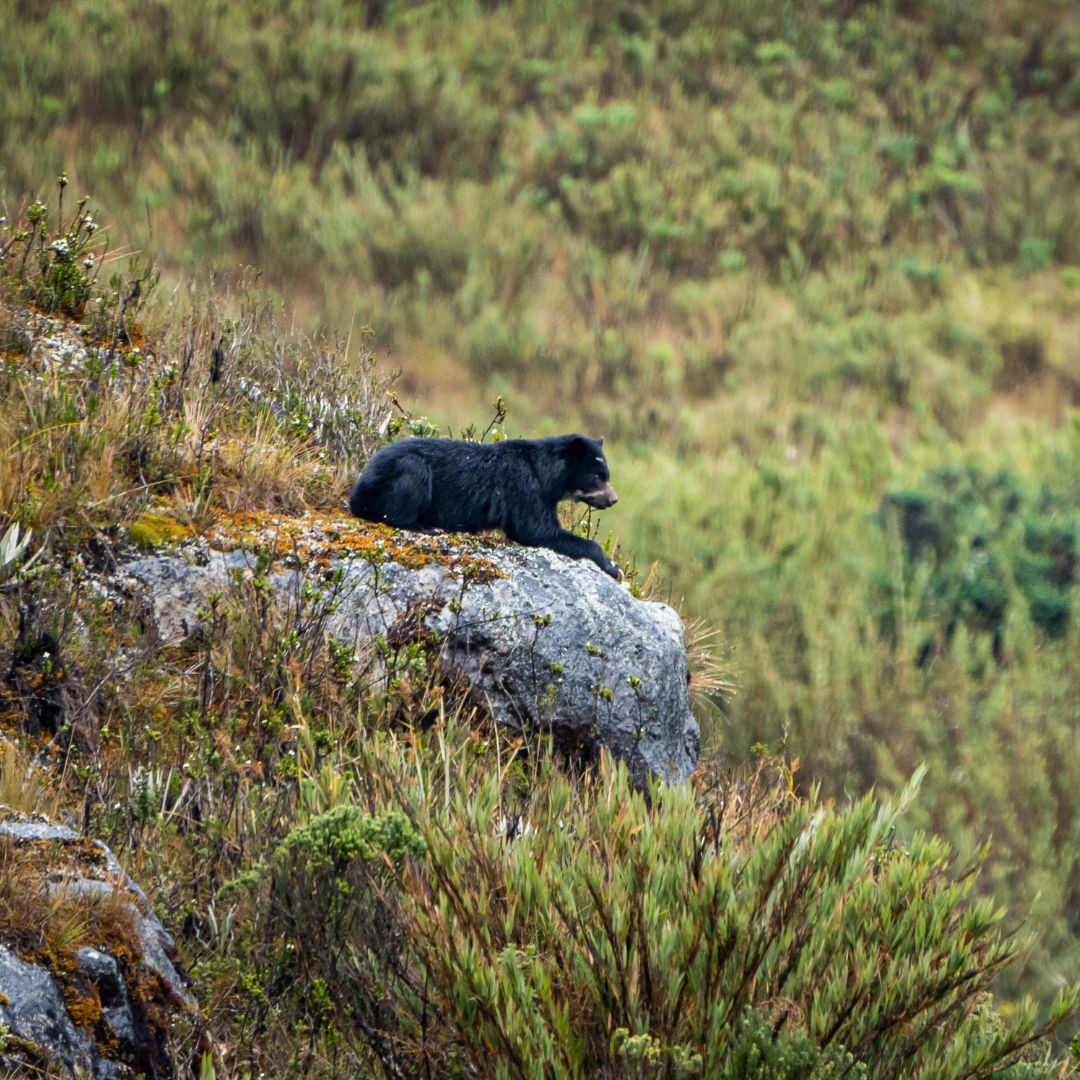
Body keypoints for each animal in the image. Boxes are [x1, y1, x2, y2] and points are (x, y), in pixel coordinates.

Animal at [352, 434, 626, 578]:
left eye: (607, 475)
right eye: (597, 476)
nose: (614, 499)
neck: (545, 474)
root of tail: (358, 489)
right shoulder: (524, 486)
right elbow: (536, 530)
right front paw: (613, 567)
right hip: (402, 472)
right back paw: (426, 527)